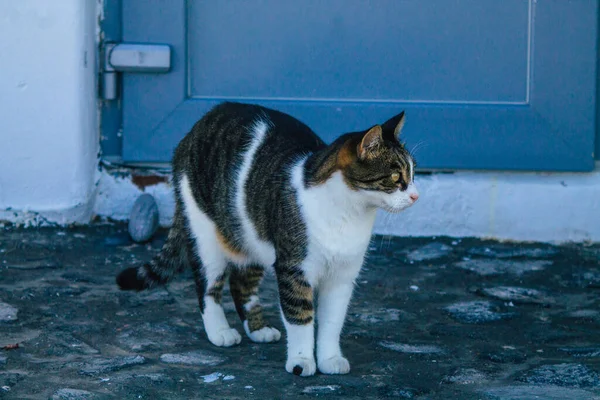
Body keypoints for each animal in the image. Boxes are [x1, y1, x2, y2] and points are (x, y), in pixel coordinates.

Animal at [116, 101, 418, 376]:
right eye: (395, 176)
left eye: (413, 173)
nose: (416, 195)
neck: (349, 214)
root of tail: (199, 124)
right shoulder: (293, 268)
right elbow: (300, 317)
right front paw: (301, 361)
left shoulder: (343, 275)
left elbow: (332, 321)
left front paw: (330, 359)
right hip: (203, 231)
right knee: (207, 287)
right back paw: (219, 331)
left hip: (250, 237)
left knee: (241, 284)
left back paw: (258, 329)